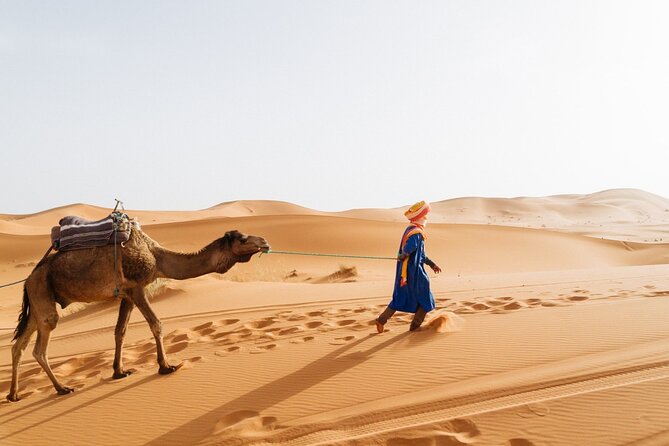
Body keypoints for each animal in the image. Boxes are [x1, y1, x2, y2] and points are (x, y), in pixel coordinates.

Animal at [7, 227, 270, 402]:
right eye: (243, 238)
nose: (265, 241)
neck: (157, 257)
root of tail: (28, 280)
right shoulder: (137, 288)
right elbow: (156, 324)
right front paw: (167, 366)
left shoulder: (126, 295)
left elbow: (119, 331)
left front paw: (119, 371)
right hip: (43, 295)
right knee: (39, 347)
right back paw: (62, 388)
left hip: (37, 303)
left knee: (19, 345)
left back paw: (13, 394)